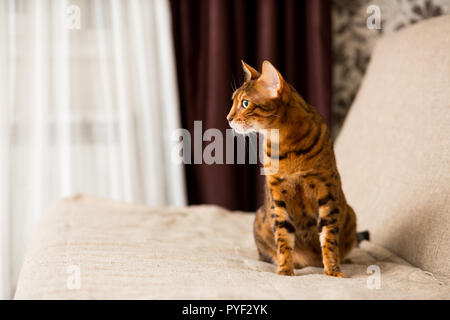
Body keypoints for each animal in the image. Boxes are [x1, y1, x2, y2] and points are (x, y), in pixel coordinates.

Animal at [227, 60, 368, 278]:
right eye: (233, 101)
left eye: (245, 103)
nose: (228, 118)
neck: (286, 145)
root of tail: (311, 262)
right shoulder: (278, 196)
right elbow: (283, 238)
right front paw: (285, 271)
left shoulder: (326, 191)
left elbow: (329, 237)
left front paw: (333, 271)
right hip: (260, 217)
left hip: (349, 213)